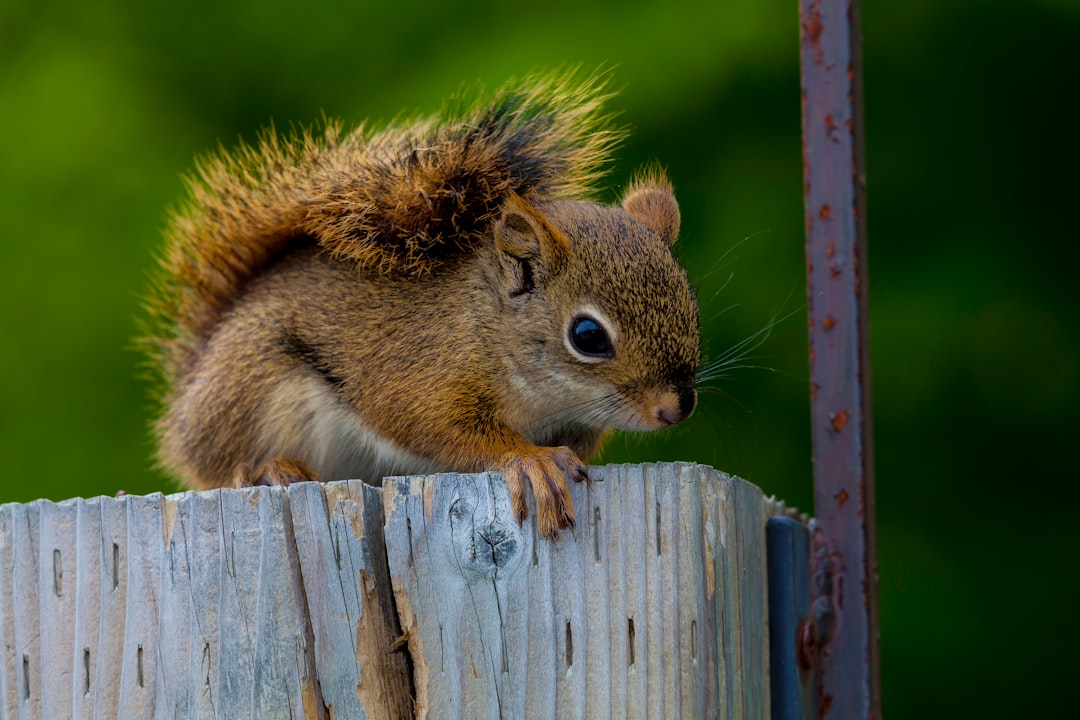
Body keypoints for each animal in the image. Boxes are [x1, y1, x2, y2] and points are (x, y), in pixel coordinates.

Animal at [143, 73, 699, 537]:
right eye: (588, 336)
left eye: (690, 305)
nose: (676, 409)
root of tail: (191, 389)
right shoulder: (419, 378)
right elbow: (444, 430)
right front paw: (531, 460)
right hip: (251, 387)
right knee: (219, 467)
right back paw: (267, 468)